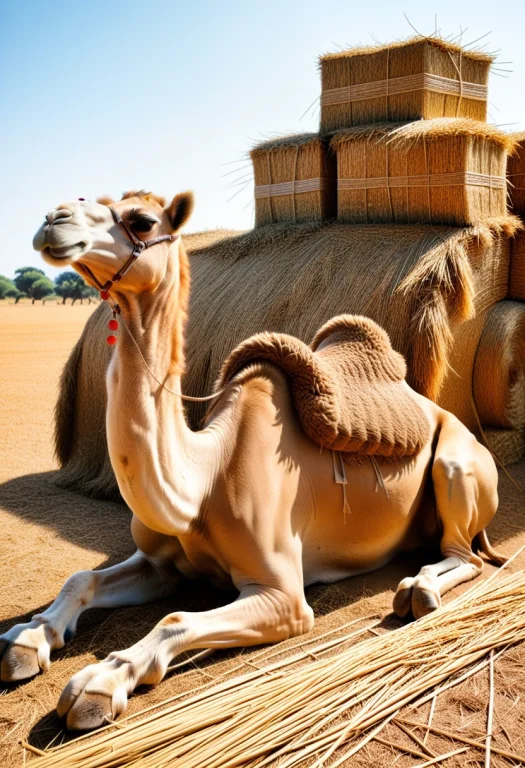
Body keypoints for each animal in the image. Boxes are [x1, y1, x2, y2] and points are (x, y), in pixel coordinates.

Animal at [0, 190, 502, 732]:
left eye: (142, 220)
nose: (54, 219)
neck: (201, 480)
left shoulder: (286, 598)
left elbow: (174, 619)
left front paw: (98, 685)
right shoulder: (161, 564)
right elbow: (83, 578)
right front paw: (26, 640)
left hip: (456, 463)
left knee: (465, 553)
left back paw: (418, 590)